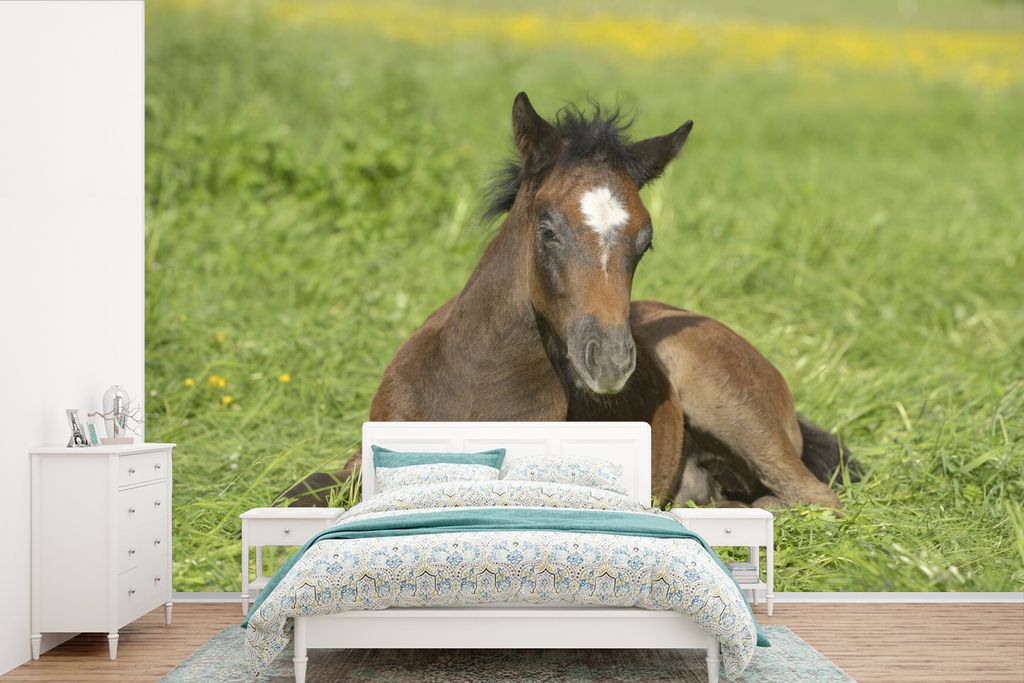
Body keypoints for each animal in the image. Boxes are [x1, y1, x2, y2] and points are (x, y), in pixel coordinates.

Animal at [284, 93, 859, 509]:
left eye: (644, 242)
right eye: (548, 229)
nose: (610, 361)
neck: (474, 379)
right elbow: (302, 490)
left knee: (808, 498)